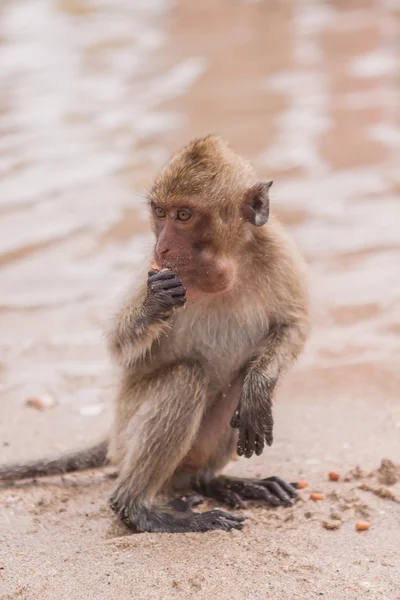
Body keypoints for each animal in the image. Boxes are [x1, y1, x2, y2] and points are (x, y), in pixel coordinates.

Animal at [0, 137, 310, 536]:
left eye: (184, 216)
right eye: (160, 212)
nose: (161, 246)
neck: (223, 269)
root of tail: (113, 436)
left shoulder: (277, 251)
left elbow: (293, 324)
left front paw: (259, 387)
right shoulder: (154, 271)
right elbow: (119, 346)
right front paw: (154, 304)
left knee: (235, 384)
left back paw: (210, 481)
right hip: (127, 430)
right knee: (186, 376)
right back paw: (138, 508)